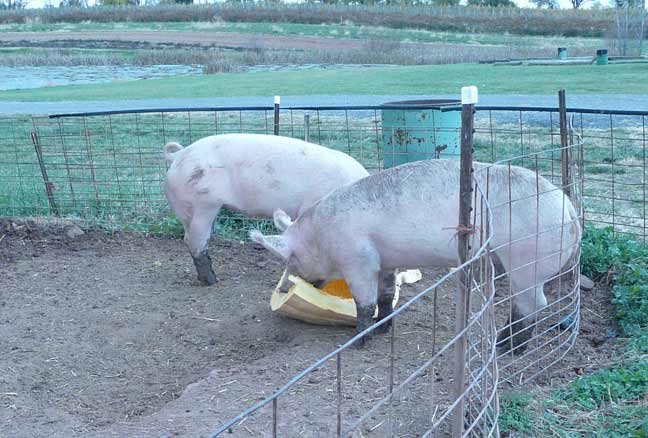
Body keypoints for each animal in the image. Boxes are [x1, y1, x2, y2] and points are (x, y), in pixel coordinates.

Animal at [162, 132, 370, 286]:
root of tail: (179, 155)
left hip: (192, 208)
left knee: (189, 237)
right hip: (204, 203)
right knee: (195, 240)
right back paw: (213, 281)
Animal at [251, 159, 580, 350]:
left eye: (290, 259)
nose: (284, 287)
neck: (320, 235)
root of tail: (570, 211)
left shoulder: (358, 260)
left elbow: (363, 302)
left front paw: (358, 342)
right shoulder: (386, 261)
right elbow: (385, 295)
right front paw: (383, 328)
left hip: (527, 257)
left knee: (534, 303)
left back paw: (506, 346)